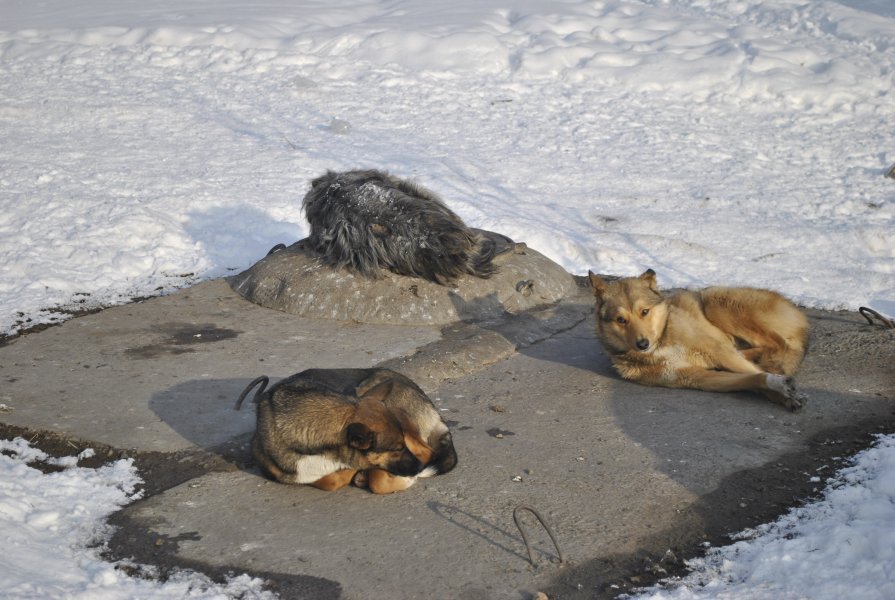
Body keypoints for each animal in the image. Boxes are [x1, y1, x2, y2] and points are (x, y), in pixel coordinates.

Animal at [588, 270, 812, 410]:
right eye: (621, 320)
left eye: (644, 311)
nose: (643, 344)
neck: (662, 342)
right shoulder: (697, 377)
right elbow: (753, 378)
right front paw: (779, 390)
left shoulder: (717, 351)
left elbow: (753, 372)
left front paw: (784, 391)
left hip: (715, 302)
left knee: (778, 344)